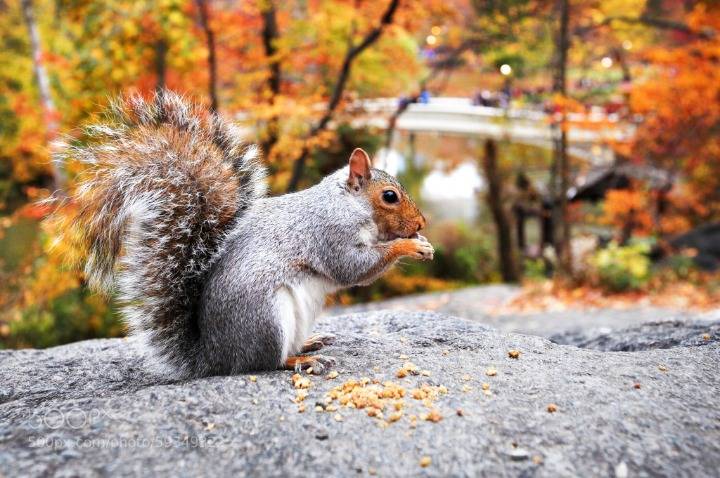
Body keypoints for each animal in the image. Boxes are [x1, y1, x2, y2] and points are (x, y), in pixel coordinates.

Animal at [60, 91, 434, 380]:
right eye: (389, 196)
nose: (422, 222)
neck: (347, 203)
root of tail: (215, 358)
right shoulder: (328, 232)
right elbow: (352, 268)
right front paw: (408, 246)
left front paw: (422, 244)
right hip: (266, 317)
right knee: (266, 362)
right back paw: (302, 358)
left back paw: (309, 343)